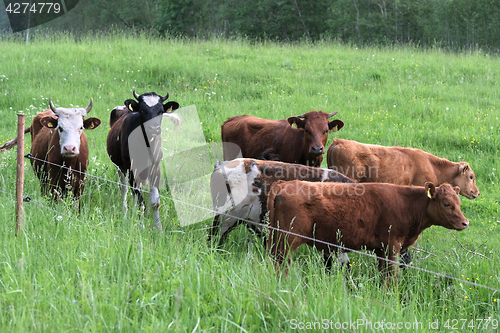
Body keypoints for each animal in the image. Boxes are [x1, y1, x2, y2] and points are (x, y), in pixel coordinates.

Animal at [106, 91, 181, 231]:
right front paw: (140, 226)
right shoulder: (132, 171)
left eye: (161, 111)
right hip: (120, 168)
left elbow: (155, 203)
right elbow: (141, 202)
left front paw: (158, 228)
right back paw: (125, 212)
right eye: (142, 110)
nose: (154, 128)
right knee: (124, 190)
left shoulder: (156, 170)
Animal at [270, 179, 468, 286]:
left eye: (459, 202)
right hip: (286, 242)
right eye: (446, 203)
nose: (465, 223)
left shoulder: (381, 249)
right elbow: (391, 276)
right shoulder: (392, 246)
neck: (406, 204)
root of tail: (284, 183)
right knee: (281, 267)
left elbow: (383, 275)